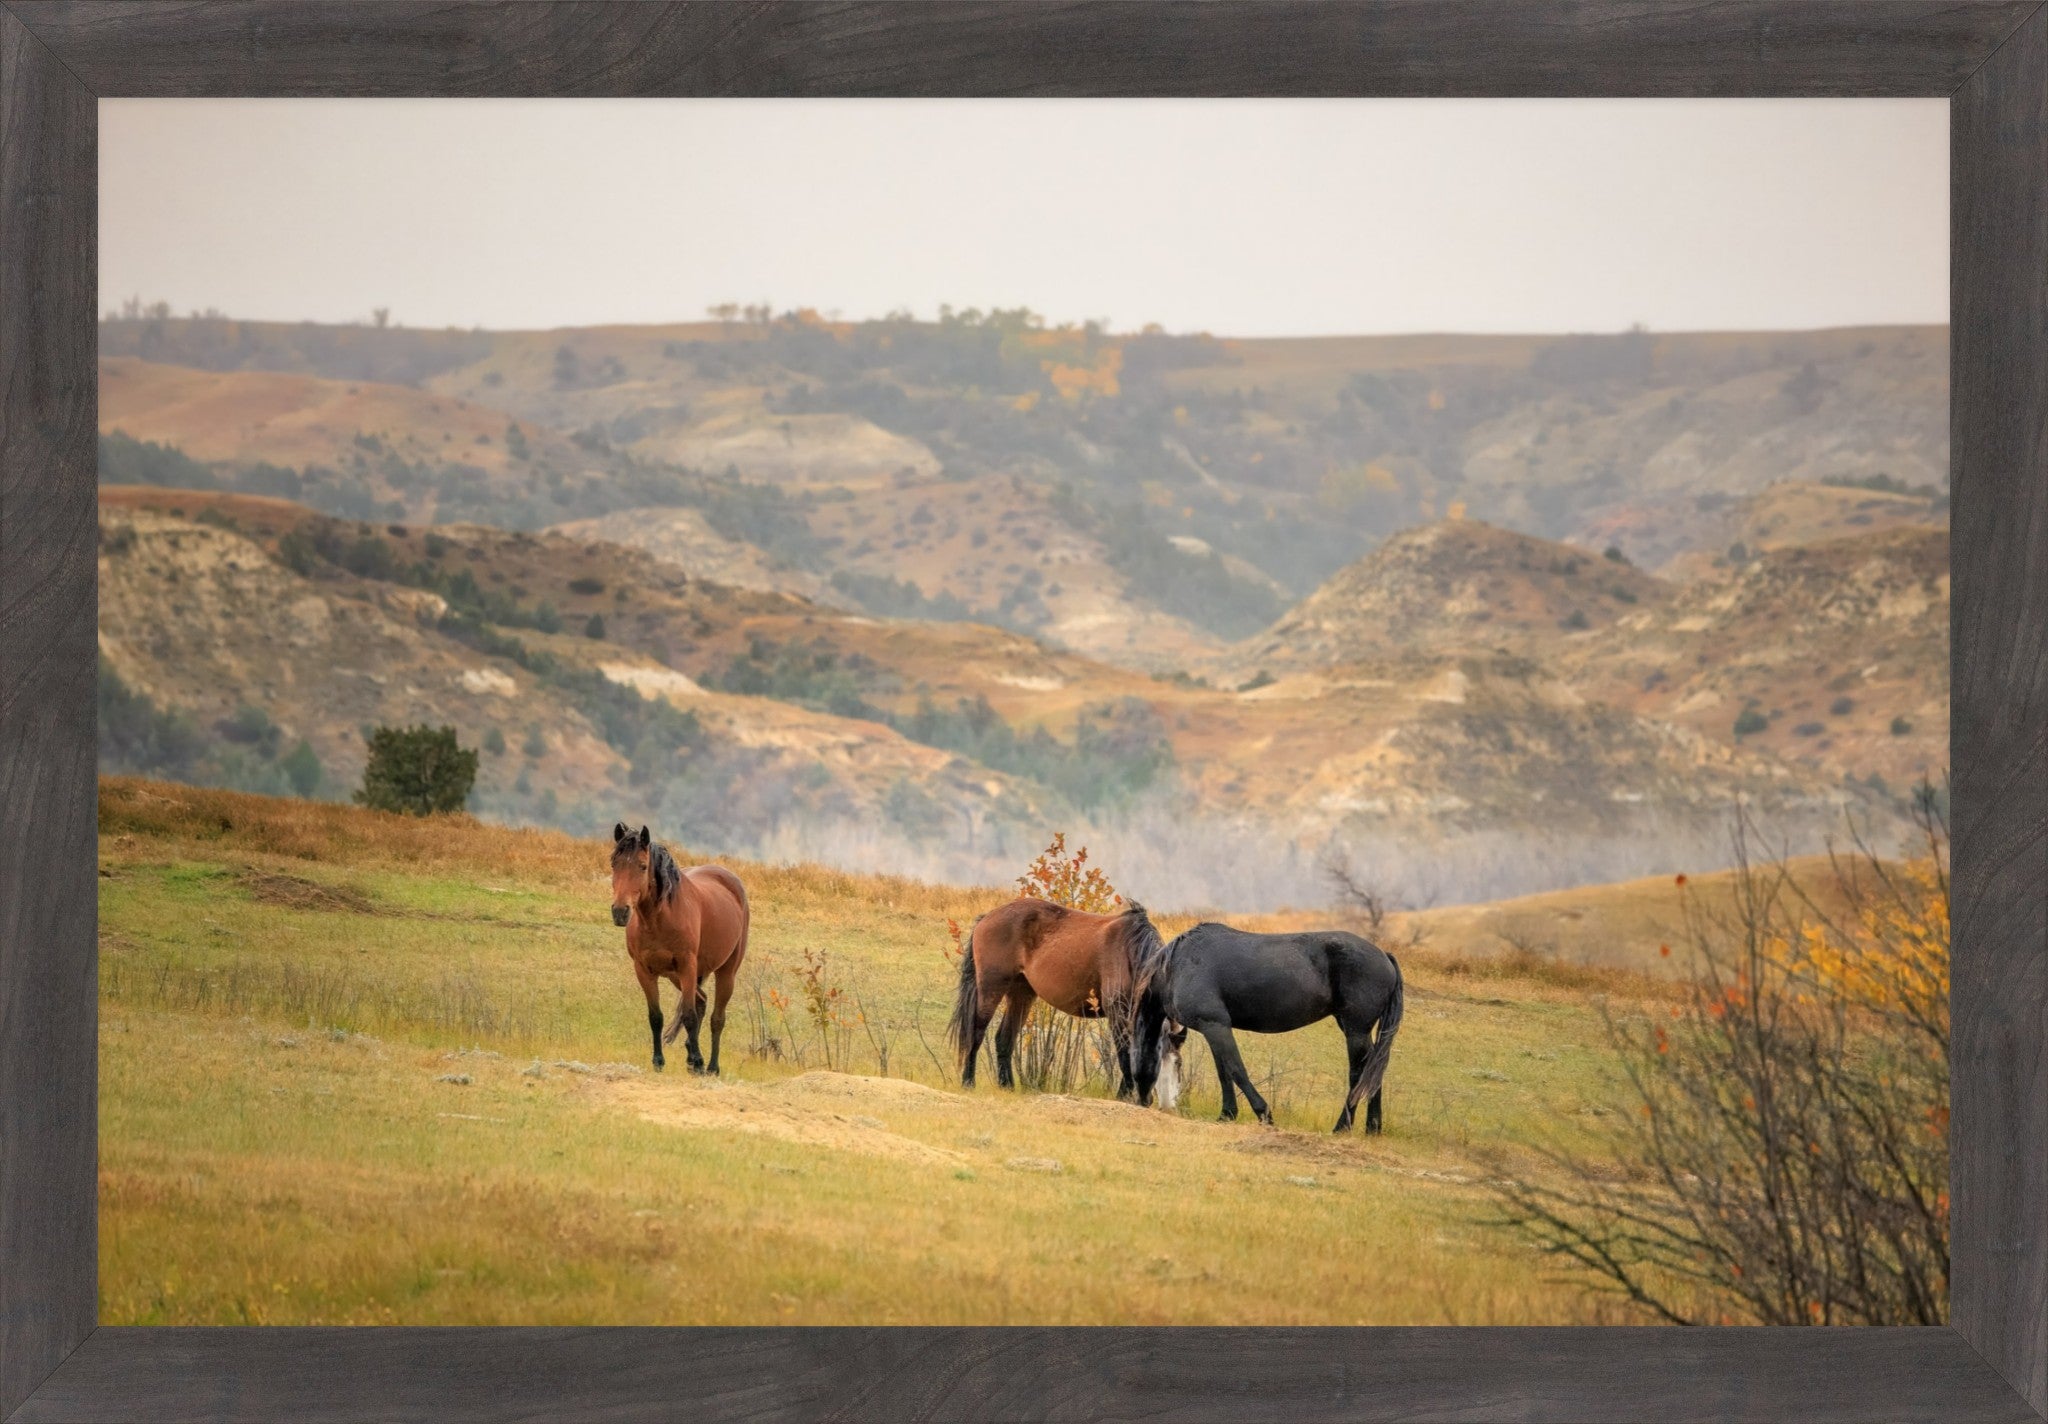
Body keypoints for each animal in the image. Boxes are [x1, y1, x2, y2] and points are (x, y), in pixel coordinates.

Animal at [608, 823, 750, 1074]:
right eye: (614, 863)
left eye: (642, 866)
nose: (620, 912)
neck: (658, 919)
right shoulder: (643, 971)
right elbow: (656, 1017)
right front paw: (658, 1061)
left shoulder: (687, 966)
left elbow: (689, 1015)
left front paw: (699, 1061)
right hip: (676, 976)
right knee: (701, 1000)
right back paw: (692, 1058)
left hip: (725, 972)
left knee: (716, 1018)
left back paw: (711, 1066)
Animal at [947, 897, 1180, 1105]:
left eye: (1175, 1061)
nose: (1148, 1100)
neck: (1130, 952)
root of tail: (987, 918)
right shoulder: (1117, 1012)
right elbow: (1124, 1055)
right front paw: (1123, 1096)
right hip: (991, 988)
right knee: (976, 1033)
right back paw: (968, 1082)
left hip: (1021, 994)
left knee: (1004, 1038)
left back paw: (1007, 1086)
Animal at [1136, 923, 1403, 1133]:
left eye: (1177, 1064)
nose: (1160, 1105)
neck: (1177, 967)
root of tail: (1384, 956)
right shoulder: (1212, 1029)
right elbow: (1224, 1072)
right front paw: (1227, 1114)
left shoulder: (1216, 1026)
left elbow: (1237, 1070)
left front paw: (1264, 1114)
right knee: (1373, 1071)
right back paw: (1372, 1127)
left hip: (1355, 1031)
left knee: (1358, 1074)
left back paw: (1342, 1127)